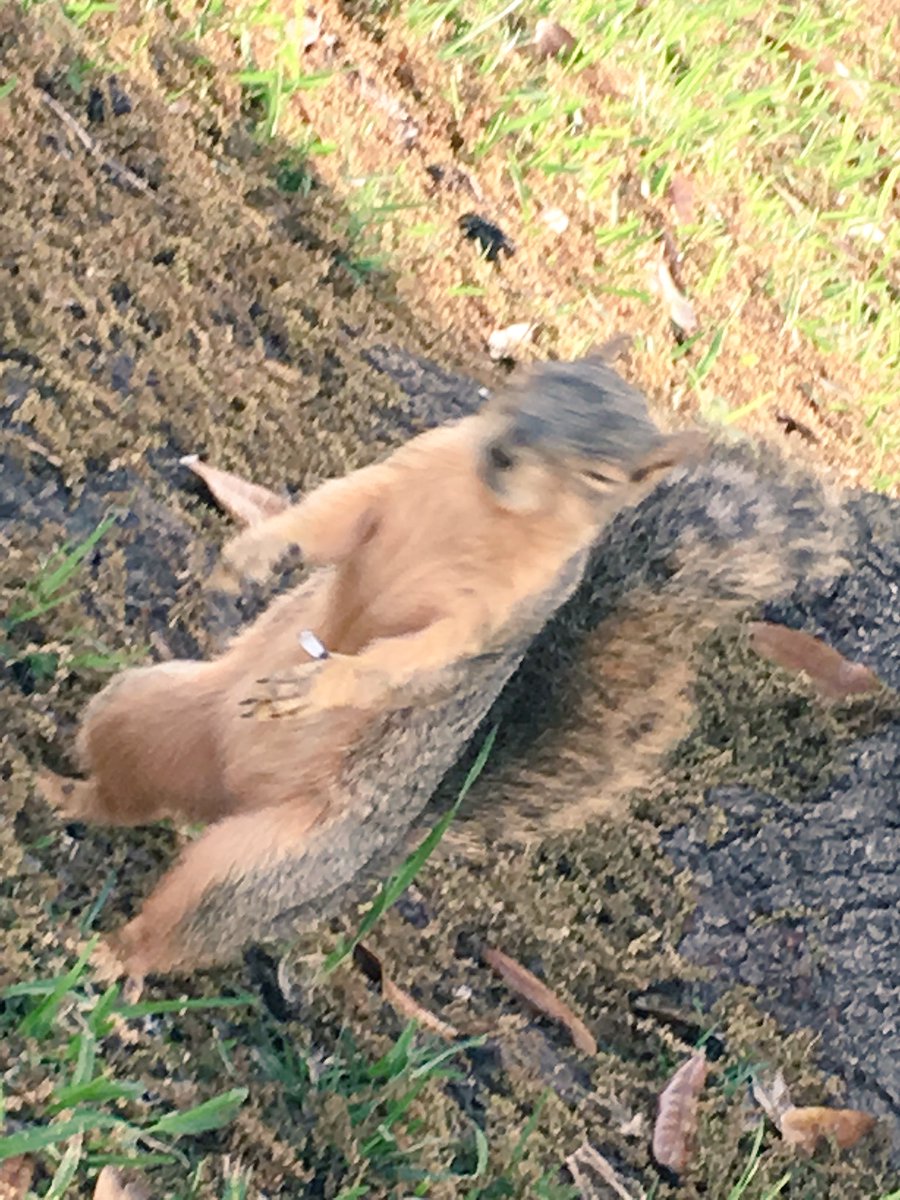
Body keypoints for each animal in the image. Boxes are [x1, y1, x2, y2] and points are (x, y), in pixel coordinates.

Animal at [38, 357, 703, 986]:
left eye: (601, 478)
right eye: (537, 380)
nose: (507, 449)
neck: (486, 509)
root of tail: (228, 794)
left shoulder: (491, 615)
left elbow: (412, 657)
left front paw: (320, 684)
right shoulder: (395, 480)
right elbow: (334, 517)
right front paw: (258, 550)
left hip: (260, 867)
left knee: (182, 926)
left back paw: (113, 958)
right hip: (144, 711)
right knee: (128, 801)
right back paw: (57, 795)